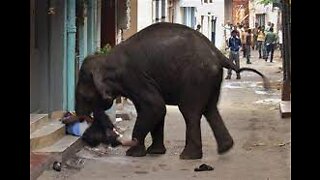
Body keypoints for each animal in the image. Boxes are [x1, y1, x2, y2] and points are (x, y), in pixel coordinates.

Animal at [74, 22, 268, 159]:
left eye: (85, 96)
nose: (82, 118)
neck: (106, 59)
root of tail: (219, 54)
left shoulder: (135, 78)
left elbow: (155, 107)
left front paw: (134, 153)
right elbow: (154, 111)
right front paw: (154, 152)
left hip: (196, 78)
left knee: (190, 112)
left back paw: (188, 156)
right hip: (210, 79)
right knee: (210, 109)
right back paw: (225, 148)